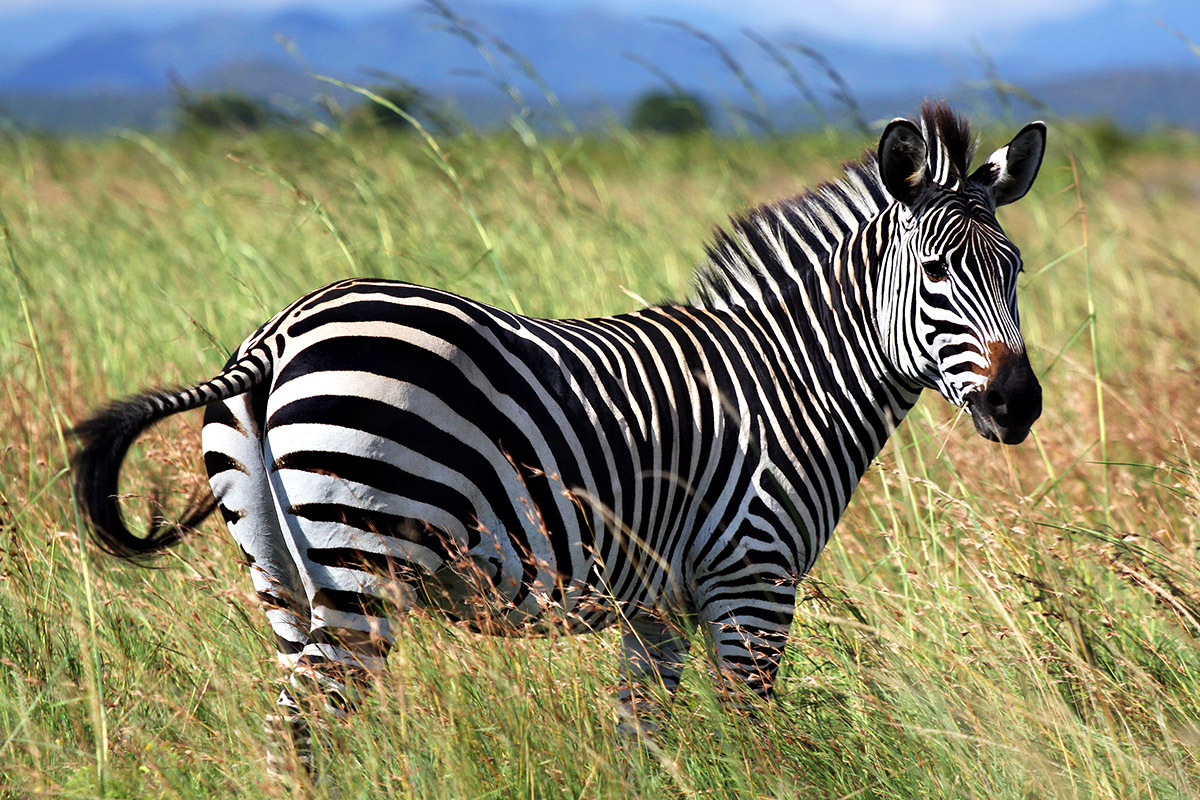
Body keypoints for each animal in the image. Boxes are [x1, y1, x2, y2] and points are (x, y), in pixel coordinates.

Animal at [75, 103, 1046, 762]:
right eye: (935, 273)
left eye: (1017, 271)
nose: (1019, 405)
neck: (791, 379)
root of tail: (274, 339)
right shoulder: (753, 584)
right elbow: (757, 746)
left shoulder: (658, 605)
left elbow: (642, 744)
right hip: (362, 559)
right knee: (303, 731)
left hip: (284, 573)